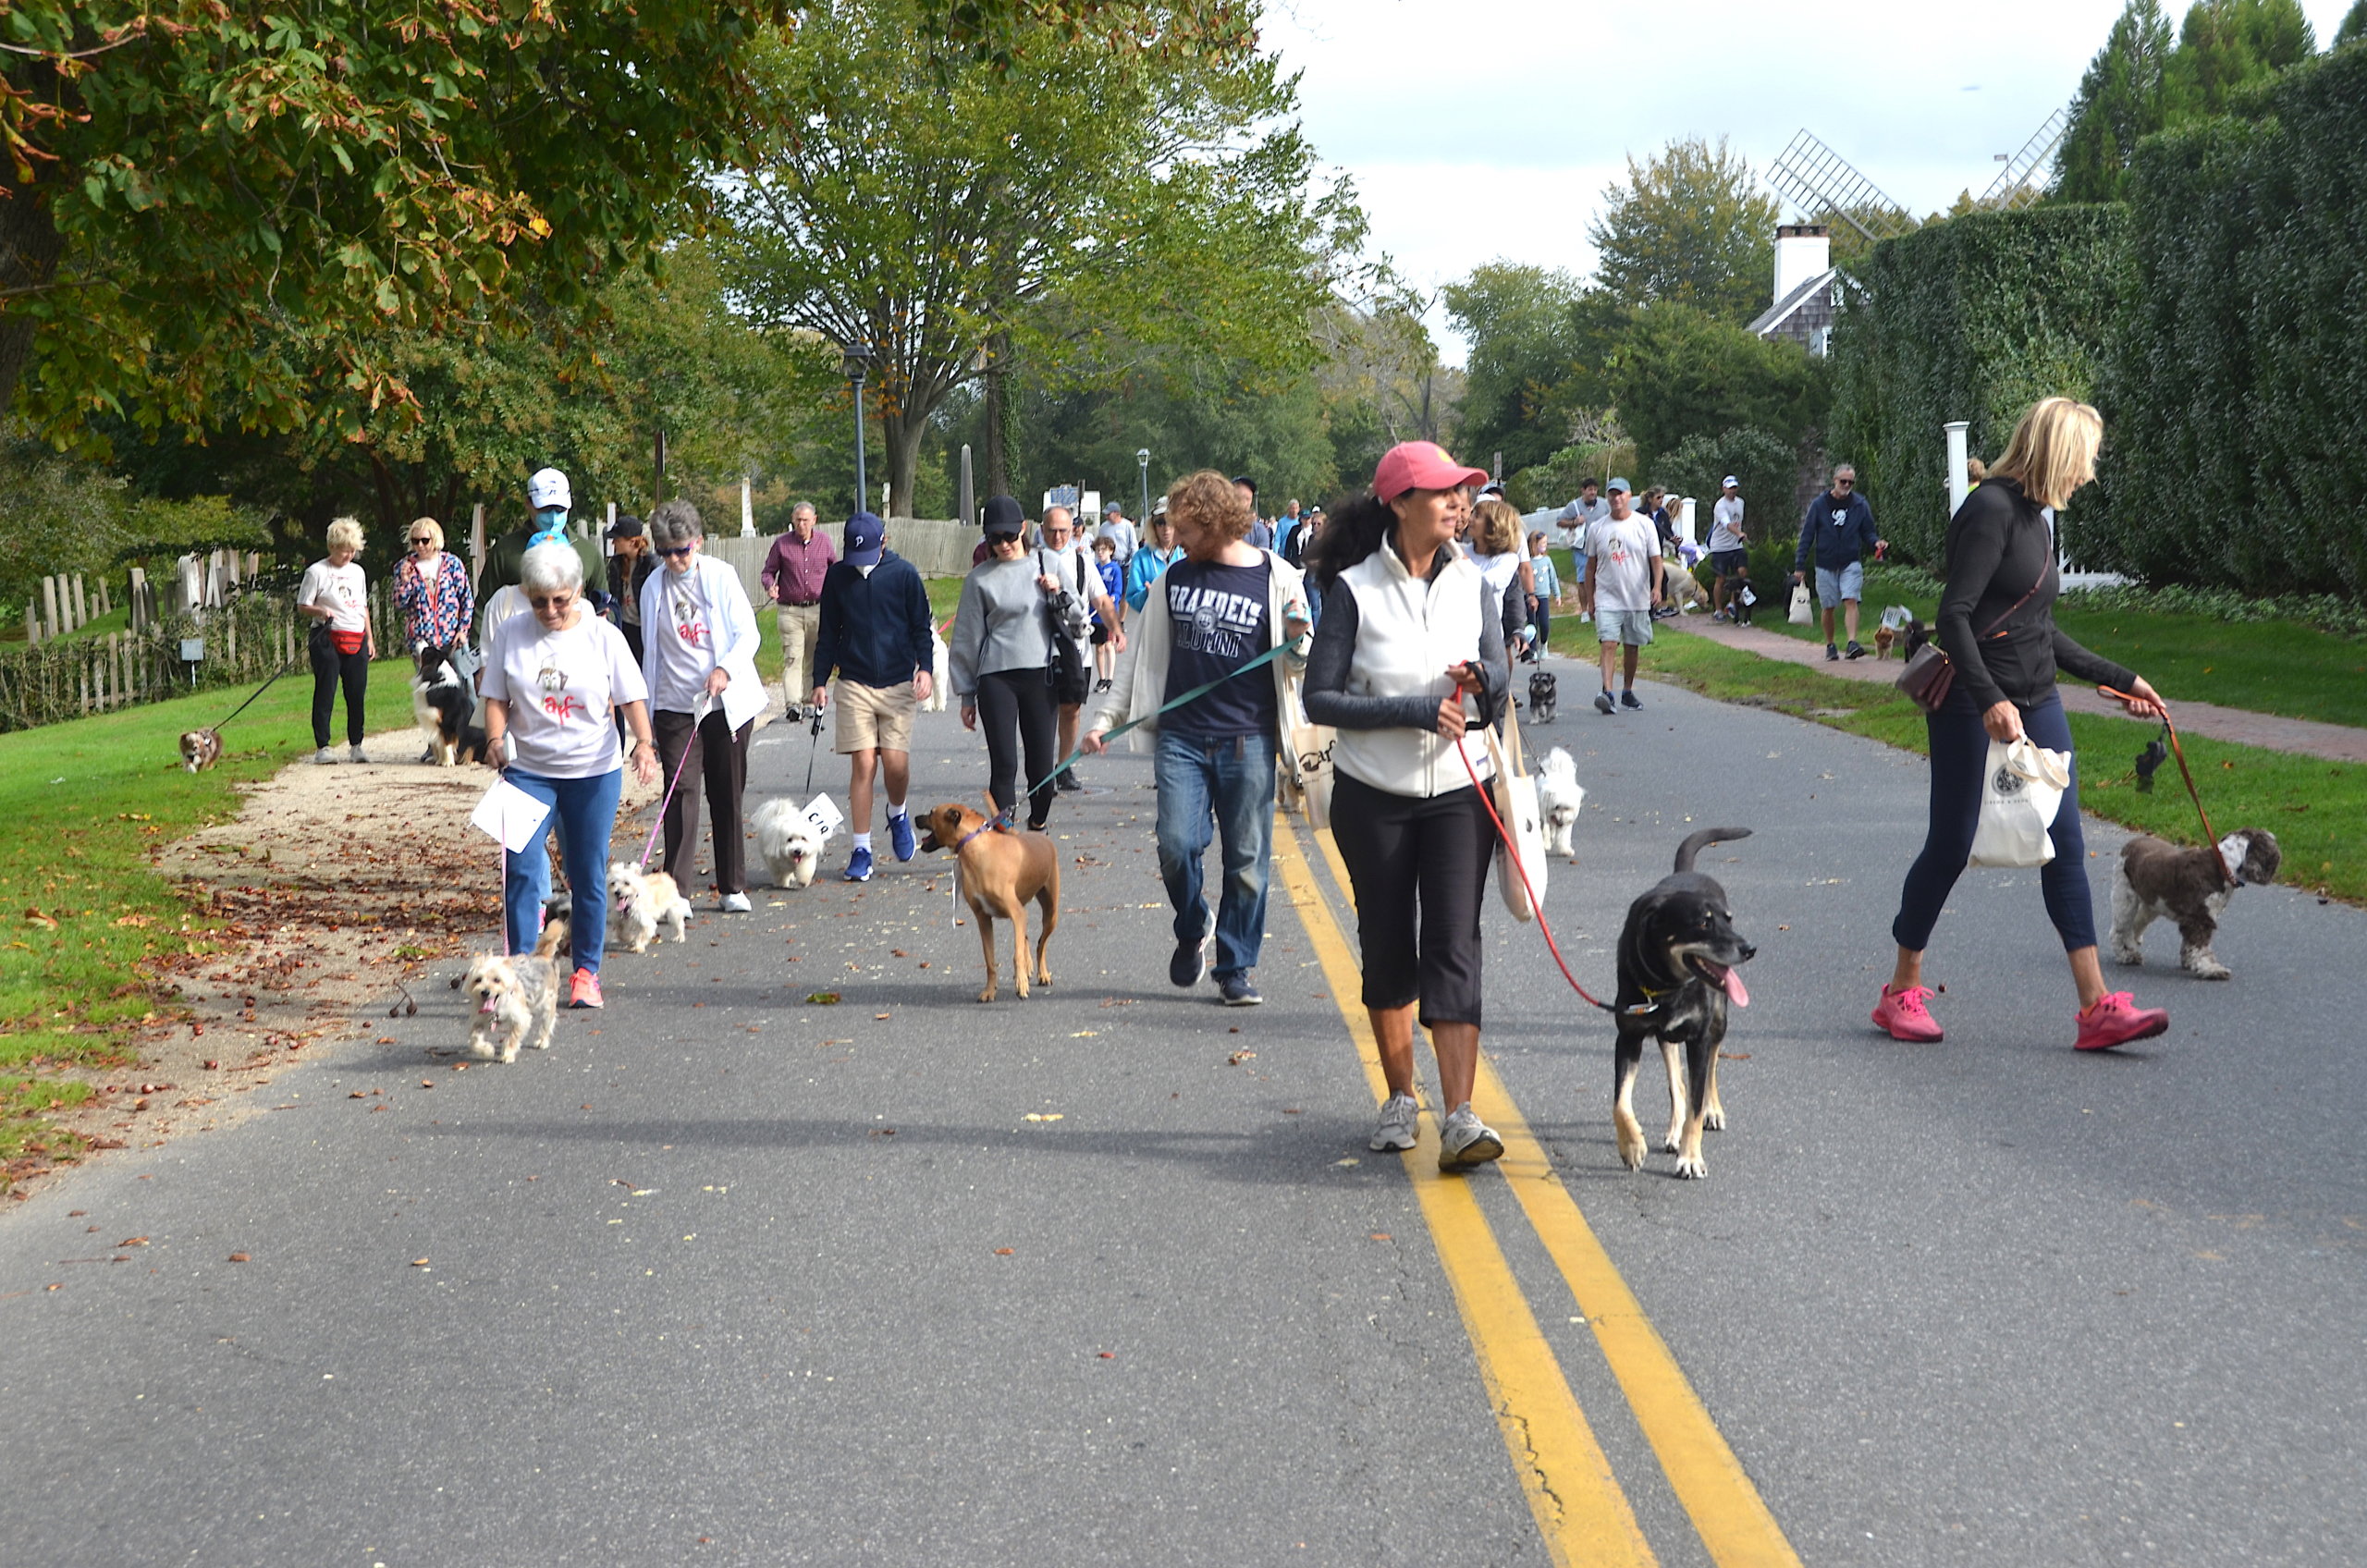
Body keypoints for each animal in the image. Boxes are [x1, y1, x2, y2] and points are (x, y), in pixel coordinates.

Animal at [463, 924, 570, 1070]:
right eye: (478, 980)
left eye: (497, 980)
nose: (485, 992)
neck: (498, 1005)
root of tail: (542, 956)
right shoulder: (478, 1020)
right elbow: (474, 1040)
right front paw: (487, 1050)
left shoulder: (520, 1019)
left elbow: (511, 1039)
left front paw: (507, 1055)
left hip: (547, 1004)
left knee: (547, 1024)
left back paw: (542, 1041)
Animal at [909, 800, 1060, 1009]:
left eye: (932, 813)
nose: (915, 818)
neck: (976, 849)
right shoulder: (984, 919)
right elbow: (990, 961)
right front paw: (989, 991)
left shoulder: (1016, 914)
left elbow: (1017, 955)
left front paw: (1021, 984)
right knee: (1027, 938)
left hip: (1050, 912)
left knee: (1040, 945)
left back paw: (1042, 974)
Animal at [1609, 833, 1760, 1179]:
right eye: (1704, 923)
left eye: (1728, 919)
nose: (1750, 949)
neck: (1665, 984)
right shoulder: (1628, 1037)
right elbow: (1621, 1102)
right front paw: (1632, 1146)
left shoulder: (1699, 1038)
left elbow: (1697, 1102)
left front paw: (1691, 1158)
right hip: (1667, 1037)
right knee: (1676, 1082)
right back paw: (1673, 1130)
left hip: (1718, 1021)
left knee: (1711, 1069)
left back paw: (1713, 1112)